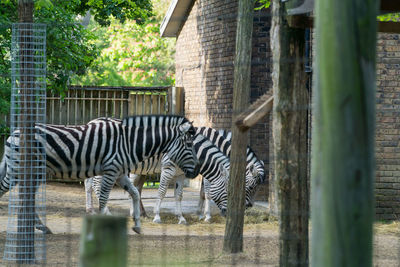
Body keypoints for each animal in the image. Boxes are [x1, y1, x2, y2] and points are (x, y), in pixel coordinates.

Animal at [0, 115, 200, 234]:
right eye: (189, 145)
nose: (197, 170)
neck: (128, 143)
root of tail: (13, 133)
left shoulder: (120, 173)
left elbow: (135, 193)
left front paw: (136, 224)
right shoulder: (111, 171)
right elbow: (104, 198)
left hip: (33, 173)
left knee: (26, 198)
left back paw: (40, 227)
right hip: (18, 170)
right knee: (5, 190)